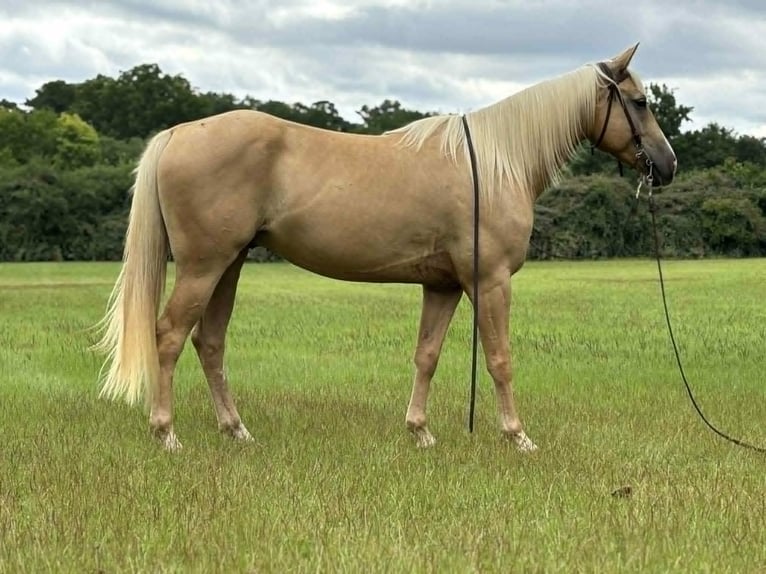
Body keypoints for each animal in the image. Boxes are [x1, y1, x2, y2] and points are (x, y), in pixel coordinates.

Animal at [95, 43, 677, 452]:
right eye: (641, 102)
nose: (667, 165)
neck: (494, 163)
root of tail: (179, 133)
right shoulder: (489, 281)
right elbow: (500, 358)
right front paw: (518, 436)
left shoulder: (443, 285)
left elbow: (427, 354)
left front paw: (419, 431)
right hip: (204, 265)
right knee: (170, 336)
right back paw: (167, 433)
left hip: (229, 265)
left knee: (210, 342)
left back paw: (236, 430)